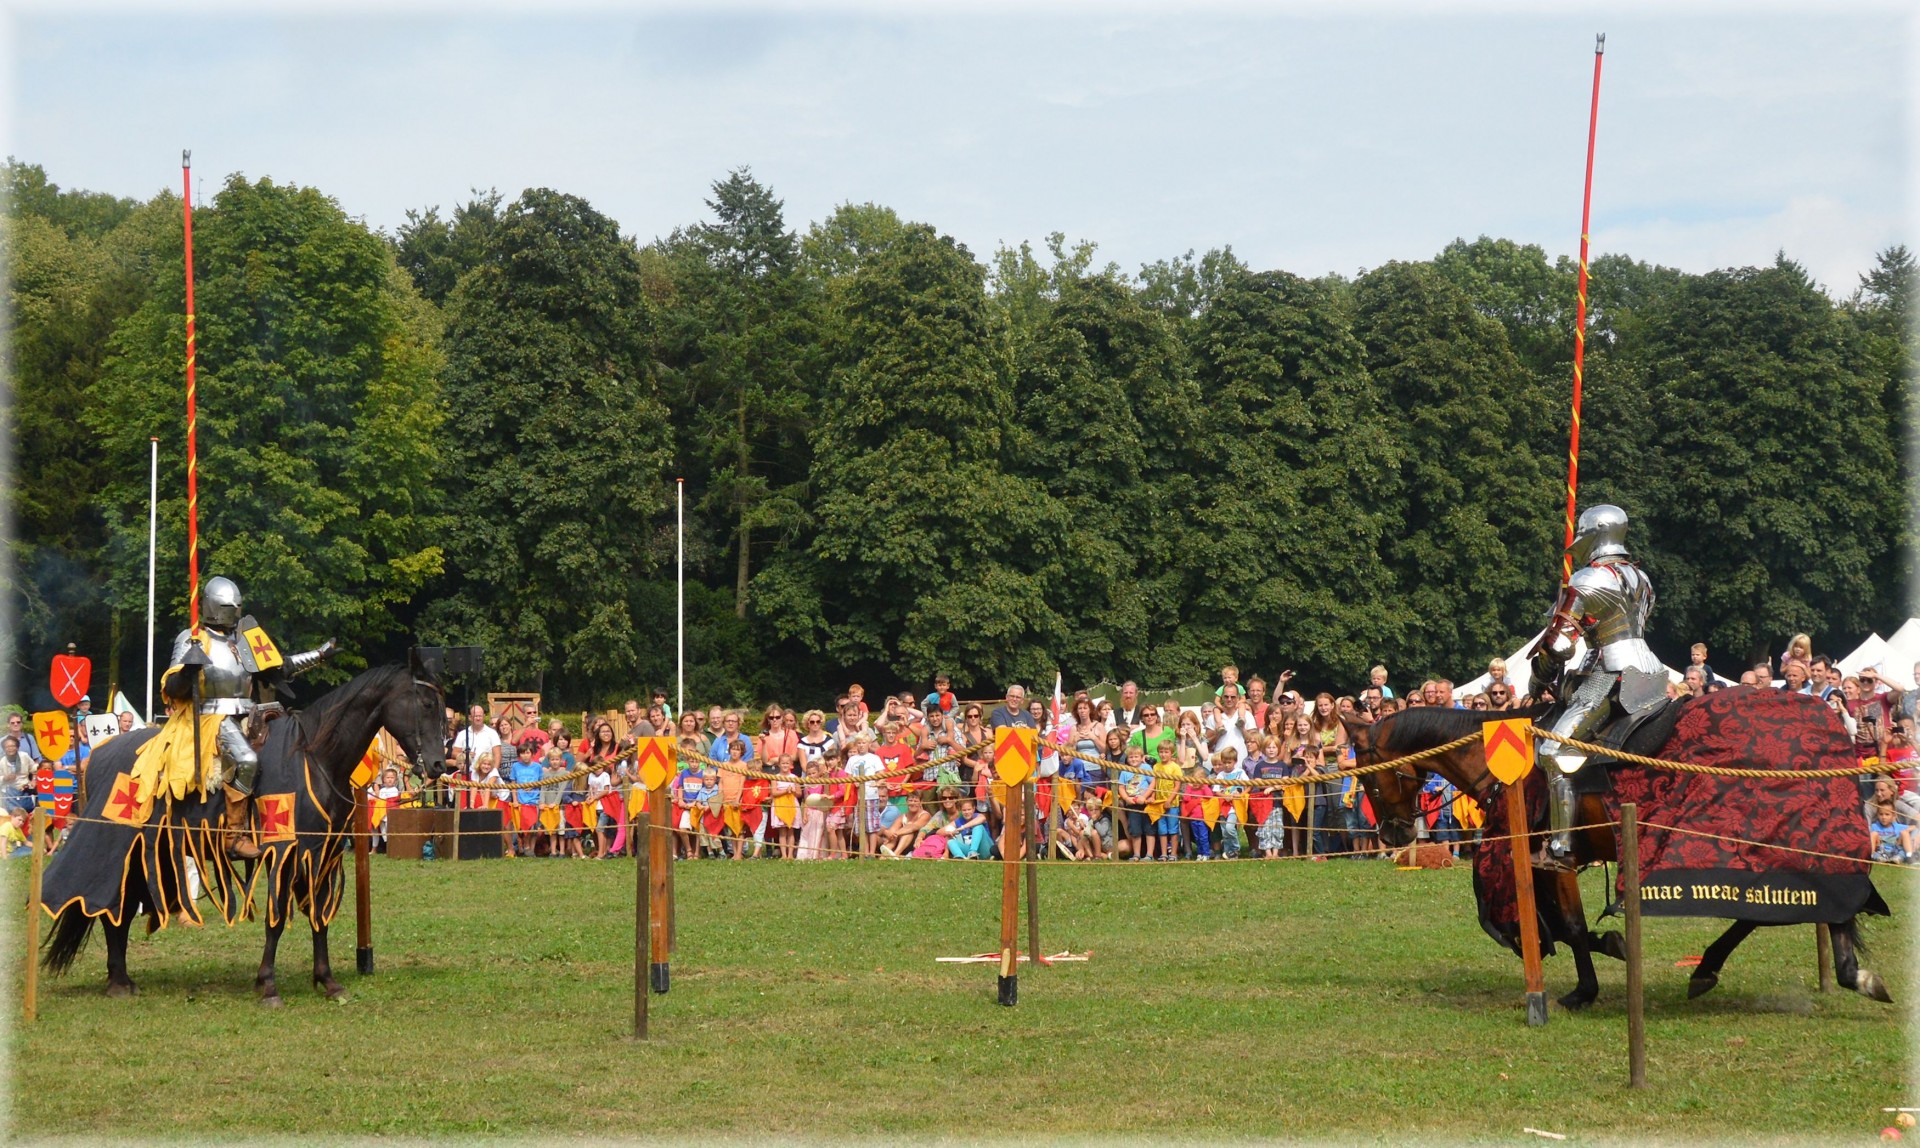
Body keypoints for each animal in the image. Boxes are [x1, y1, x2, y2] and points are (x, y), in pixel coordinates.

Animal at [45, 664, 441, 1005]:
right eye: (425, 704)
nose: (438, 764)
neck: (317, 756)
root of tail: (94, 758)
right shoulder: (286, 851)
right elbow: (276, 918)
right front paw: (268, 985)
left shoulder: (321, 854)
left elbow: (319, 917)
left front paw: (327, 981)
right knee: (111, 906)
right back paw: (118, 982)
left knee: (120, 910)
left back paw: (121, 979)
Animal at [1351, 691, 1889, 1005]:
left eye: (1370, 780)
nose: (1393, 836)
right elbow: (1561, 927)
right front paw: (1609, 945)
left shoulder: (1554, 860)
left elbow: (1568, 925)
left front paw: (1584, 989)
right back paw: (1846, 973)